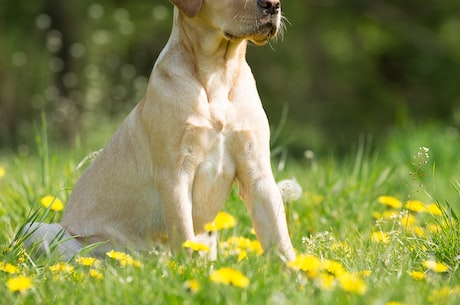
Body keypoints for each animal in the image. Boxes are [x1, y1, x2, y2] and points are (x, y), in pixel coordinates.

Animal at [22, 0, 294, 262]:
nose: (272, 5)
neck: (219, 72)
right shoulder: (175, 174)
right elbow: (183, 234)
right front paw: (187, 272)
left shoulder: (257, 171)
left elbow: (279, 236)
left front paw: (295, 274)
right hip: (37, 229)